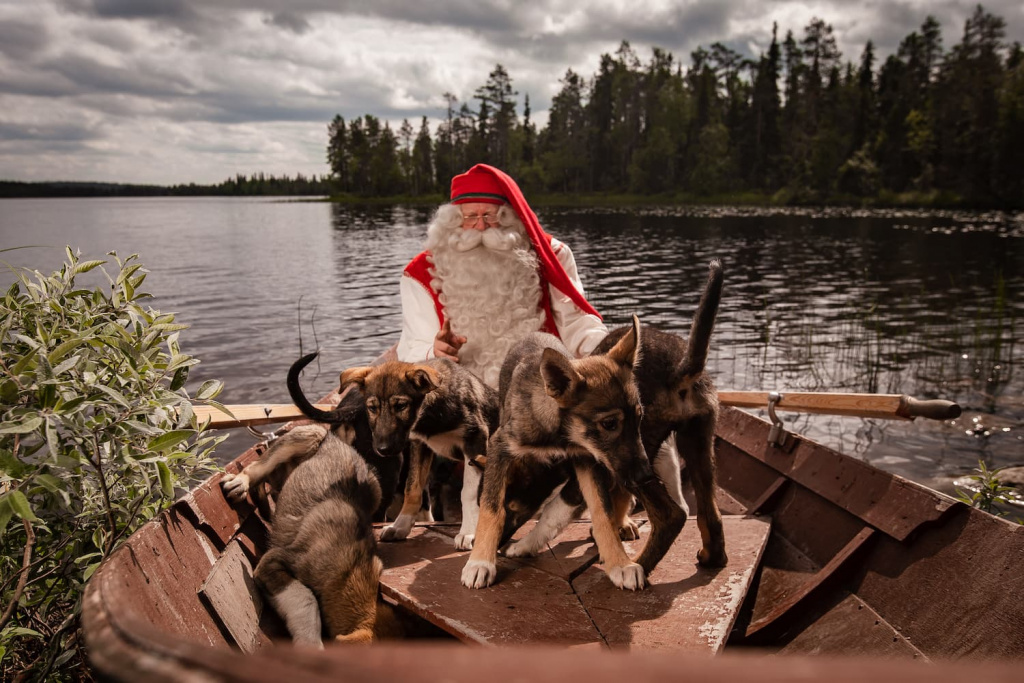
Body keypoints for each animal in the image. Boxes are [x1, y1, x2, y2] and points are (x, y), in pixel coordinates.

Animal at [296, 352, 499, 548]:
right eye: (372, 408)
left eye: (401, 406)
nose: (382, 449)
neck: (432, 413)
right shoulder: (419, 445)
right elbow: (413, 489)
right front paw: (401, 526)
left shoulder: (475, 440)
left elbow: (468, 492)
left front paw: (468, 532)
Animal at [460, 317, 684, 589]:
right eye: (609, 423)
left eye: (639, 420)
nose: (645, 476)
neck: (559, 436)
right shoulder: (499, 447)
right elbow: (491, 509)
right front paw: (480, 562)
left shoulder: (587, 459)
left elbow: (602, 513)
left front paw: (620, 564)